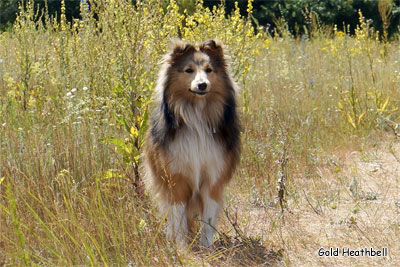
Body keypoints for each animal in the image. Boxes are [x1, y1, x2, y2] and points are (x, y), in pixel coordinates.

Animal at [144, 39, 241, 249]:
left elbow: (208, 219)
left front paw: (207, 247)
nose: (202, 85)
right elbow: (179, 218)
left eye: (209, 70)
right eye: (189, 70)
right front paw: (182, 247)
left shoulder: (213, 179)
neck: (197, 116)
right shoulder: (176, 179)